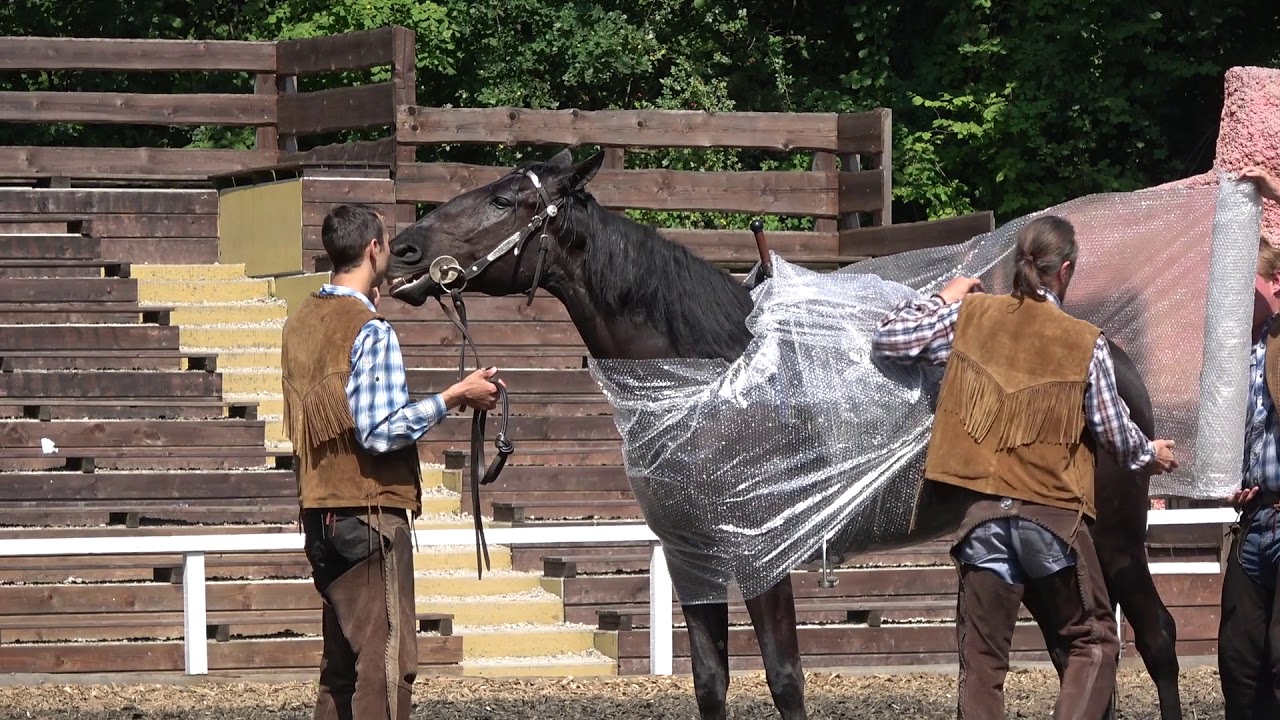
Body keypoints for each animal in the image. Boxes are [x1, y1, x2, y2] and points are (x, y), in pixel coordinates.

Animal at [384, 148, 1184, 720]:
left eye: (507, 198)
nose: (404, 251)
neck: (715, 386)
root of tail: (1112, 356)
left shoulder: (764, 557)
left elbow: (784, 678)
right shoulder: (695, 558)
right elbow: (711, 681)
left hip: (1114, 533)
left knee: (1155, 638)